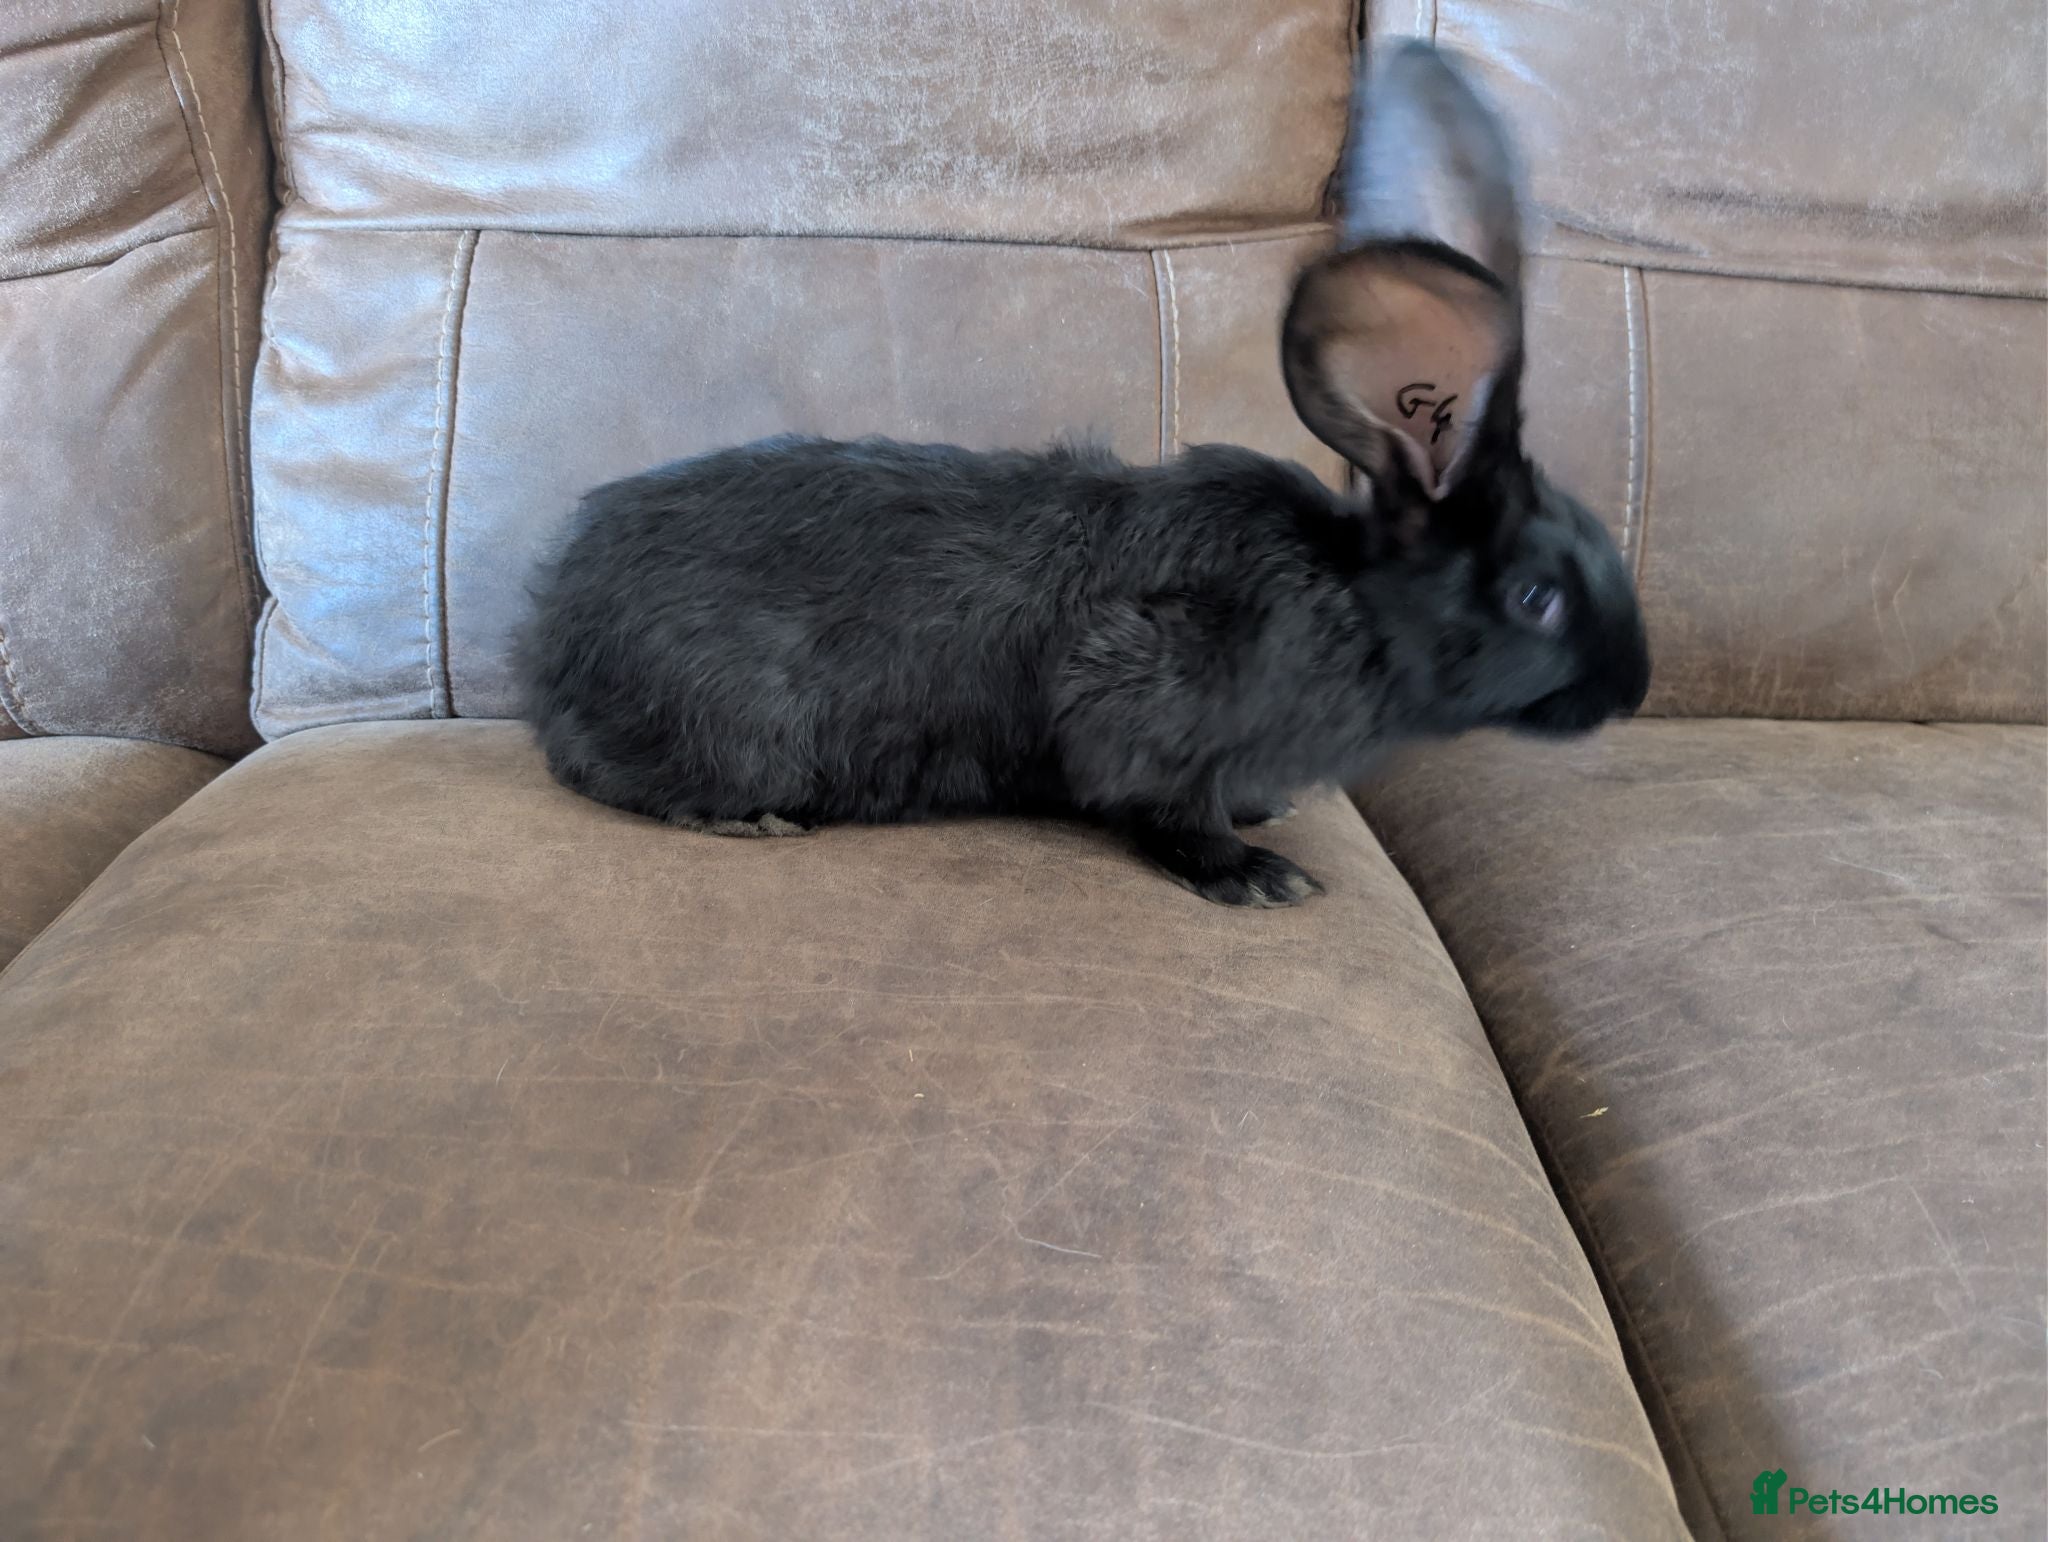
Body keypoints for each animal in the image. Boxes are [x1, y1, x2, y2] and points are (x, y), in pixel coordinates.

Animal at [520, 41, 1650, 907]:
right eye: (1537, 596)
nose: (1632, 690)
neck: (1354, 602)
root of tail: (549, 629)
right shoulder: (1131, 697)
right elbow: (1164, 807)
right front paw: (1255, 874)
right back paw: (749, 821)